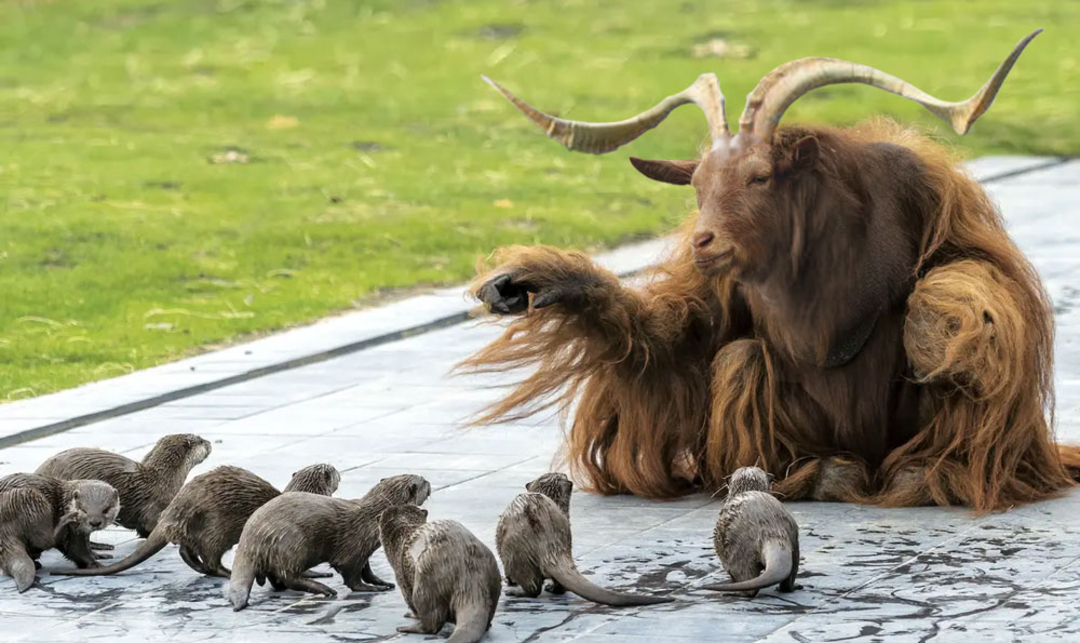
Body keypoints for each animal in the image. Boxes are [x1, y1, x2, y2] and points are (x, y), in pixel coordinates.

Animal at [57, 463, 340, 579]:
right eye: (333, 470)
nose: (336, 469)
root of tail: (175, 510)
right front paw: (318, 573)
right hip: (216, 528)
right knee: (210, 556)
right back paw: (225, 573)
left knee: (186, 550)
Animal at [228, 473, 431, 611]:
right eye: (423, 482)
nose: (429, 483)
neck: (371, 520)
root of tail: (250, 536)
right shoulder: (352, 549)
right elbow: (352, 576)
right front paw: (371, 588)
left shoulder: (363, 549)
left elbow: (367, 570)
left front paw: (382, 582)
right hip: (293, 543)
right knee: (289, 576)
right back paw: (324, 588)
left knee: (276, 577)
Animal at [379, 505, 501, 643]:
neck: (403, 536)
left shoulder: (401, 575)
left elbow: (409, 601)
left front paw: (412, 614)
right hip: (493, 573)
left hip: (426, 581)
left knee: (432, 620)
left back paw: (406, 628)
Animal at [704, 466, 800, 595]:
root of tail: (771, 530)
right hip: (794, 541)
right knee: (789, 580)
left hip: (739, 553)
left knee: (749, 586)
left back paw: (733, 592)